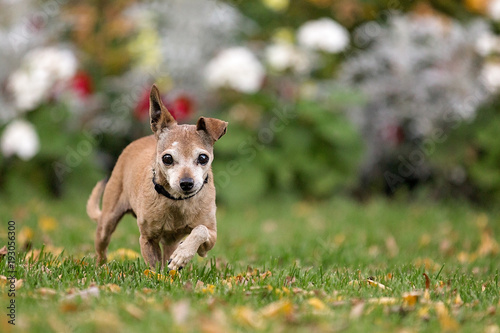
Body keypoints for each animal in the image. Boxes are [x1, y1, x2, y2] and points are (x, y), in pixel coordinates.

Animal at [87, 83, 228, 270]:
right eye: (167, 158)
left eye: (203, 158)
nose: (186, 183)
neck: (176, 201)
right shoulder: (148, 239)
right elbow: (154, 268)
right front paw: (155, 276)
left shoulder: (210, 238)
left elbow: (200, 230)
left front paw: (182, 255)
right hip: (107, 222)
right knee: (102, 249)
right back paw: (100, 267)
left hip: (170, 242)